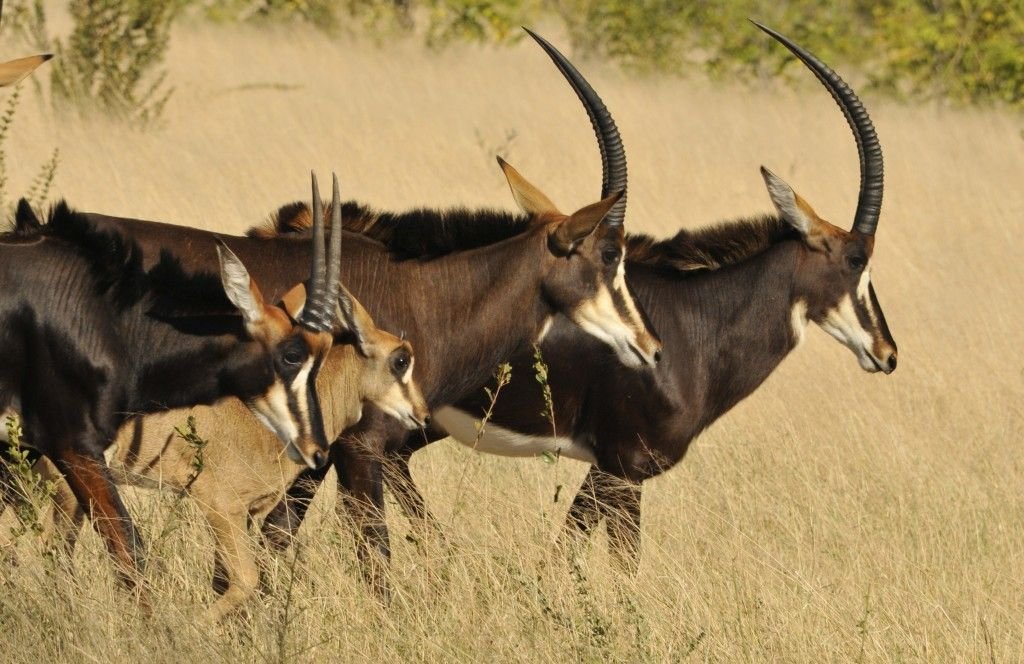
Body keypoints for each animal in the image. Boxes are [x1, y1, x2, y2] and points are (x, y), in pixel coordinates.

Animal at [0, 174, 344, 594]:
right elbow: (127, 548)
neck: (110, 320)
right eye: (292, 354)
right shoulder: (74, 445)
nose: (317, 449)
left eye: (324, 350)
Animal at [358, 24, 900, 573]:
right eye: (857, 260)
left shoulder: (610, 471)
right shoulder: (623, 467)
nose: (887, 353)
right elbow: (612, 563)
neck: (695, 325)